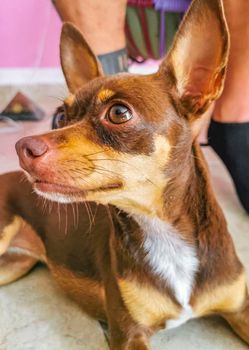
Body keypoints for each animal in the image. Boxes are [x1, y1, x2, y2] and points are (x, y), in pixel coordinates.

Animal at [0, 0, 249, 348]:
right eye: (61, 117)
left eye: (118, 113)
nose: (23, 147)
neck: (162, 231)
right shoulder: (127, 333)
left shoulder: (240, 308)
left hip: (14, 265)